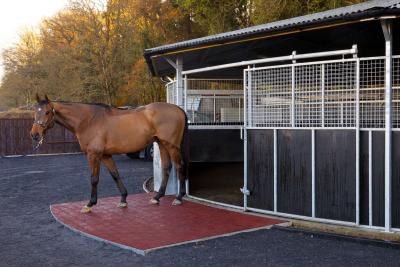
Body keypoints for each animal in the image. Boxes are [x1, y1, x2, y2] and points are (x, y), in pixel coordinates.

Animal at [30, 94, 188, 214]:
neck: (88, 120)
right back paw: (157, 197)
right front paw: (123, 199)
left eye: (47, 112)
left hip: (172, 146)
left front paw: (90, 204)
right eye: (35, 112)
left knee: (180, 166)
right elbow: (115, 175)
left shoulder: (94, 155)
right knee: (167, 168)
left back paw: (179, 198)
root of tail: (177, 109)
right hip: (161, 144)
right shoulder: (105, 155)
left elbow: (94, 179)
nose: (34, 135)